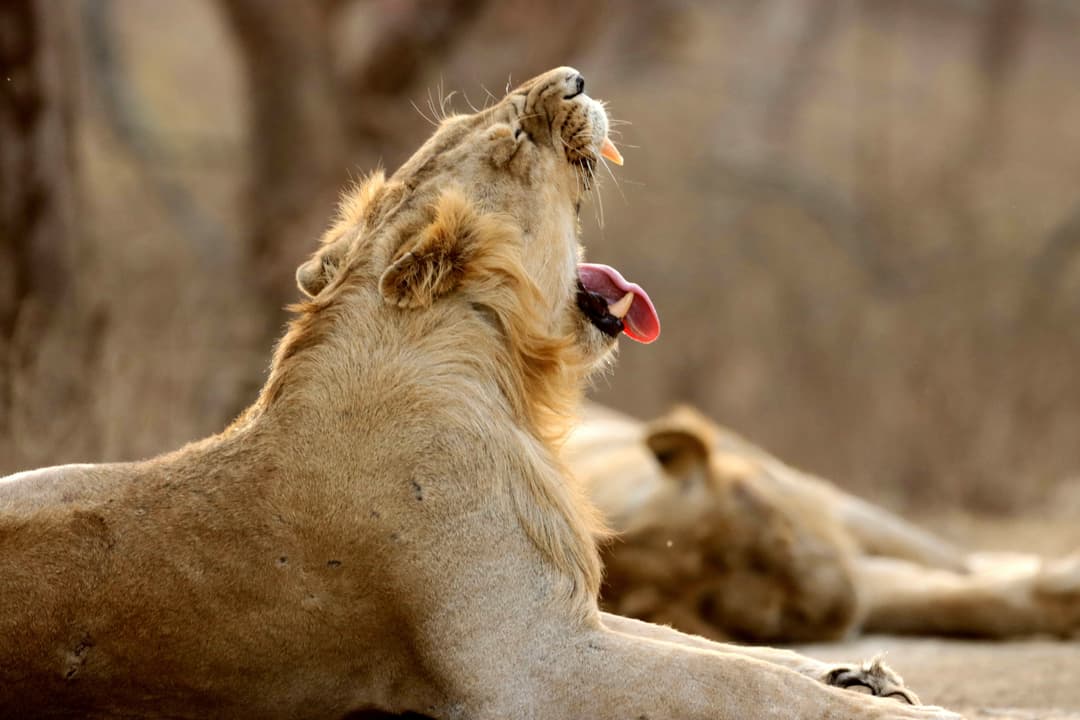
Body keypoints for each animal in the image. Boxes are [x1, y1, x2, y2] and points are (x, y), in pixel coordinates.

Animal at [0, 68, 960, 719]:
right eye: (515, 138)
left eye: (466, 119)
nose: (575, 78)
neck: (505, 387)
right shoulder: (529, 667)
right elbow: (742, 687)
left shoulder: (566, 613)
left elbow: (735, 656)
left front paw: (863, 671)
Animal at [567, 403, 1080, 644]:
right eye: (706, 604)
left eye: (750, 502)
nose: (820, 606)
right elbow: (953, 602)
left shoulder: (837, 518)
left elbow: (954, 579)